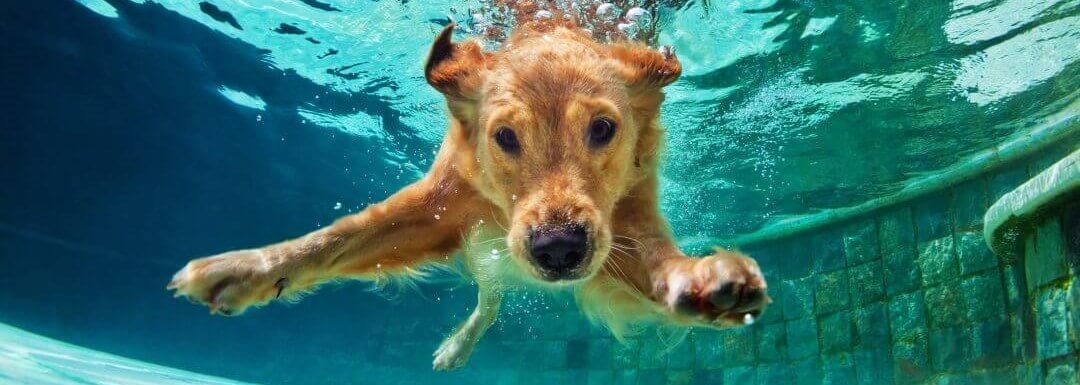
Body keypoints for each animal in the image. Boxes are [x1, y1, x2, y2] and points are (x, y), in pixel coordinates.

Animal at [166, 14, 768, 369]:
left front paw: (703, 280)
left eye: (603, 128)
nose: (558, 250)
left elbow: (659, 262)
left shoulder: (626, 220)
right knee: (489, 295)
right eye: (504, 137)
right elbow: (336, 238)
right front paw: (246, 269)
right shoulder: (439, 205)